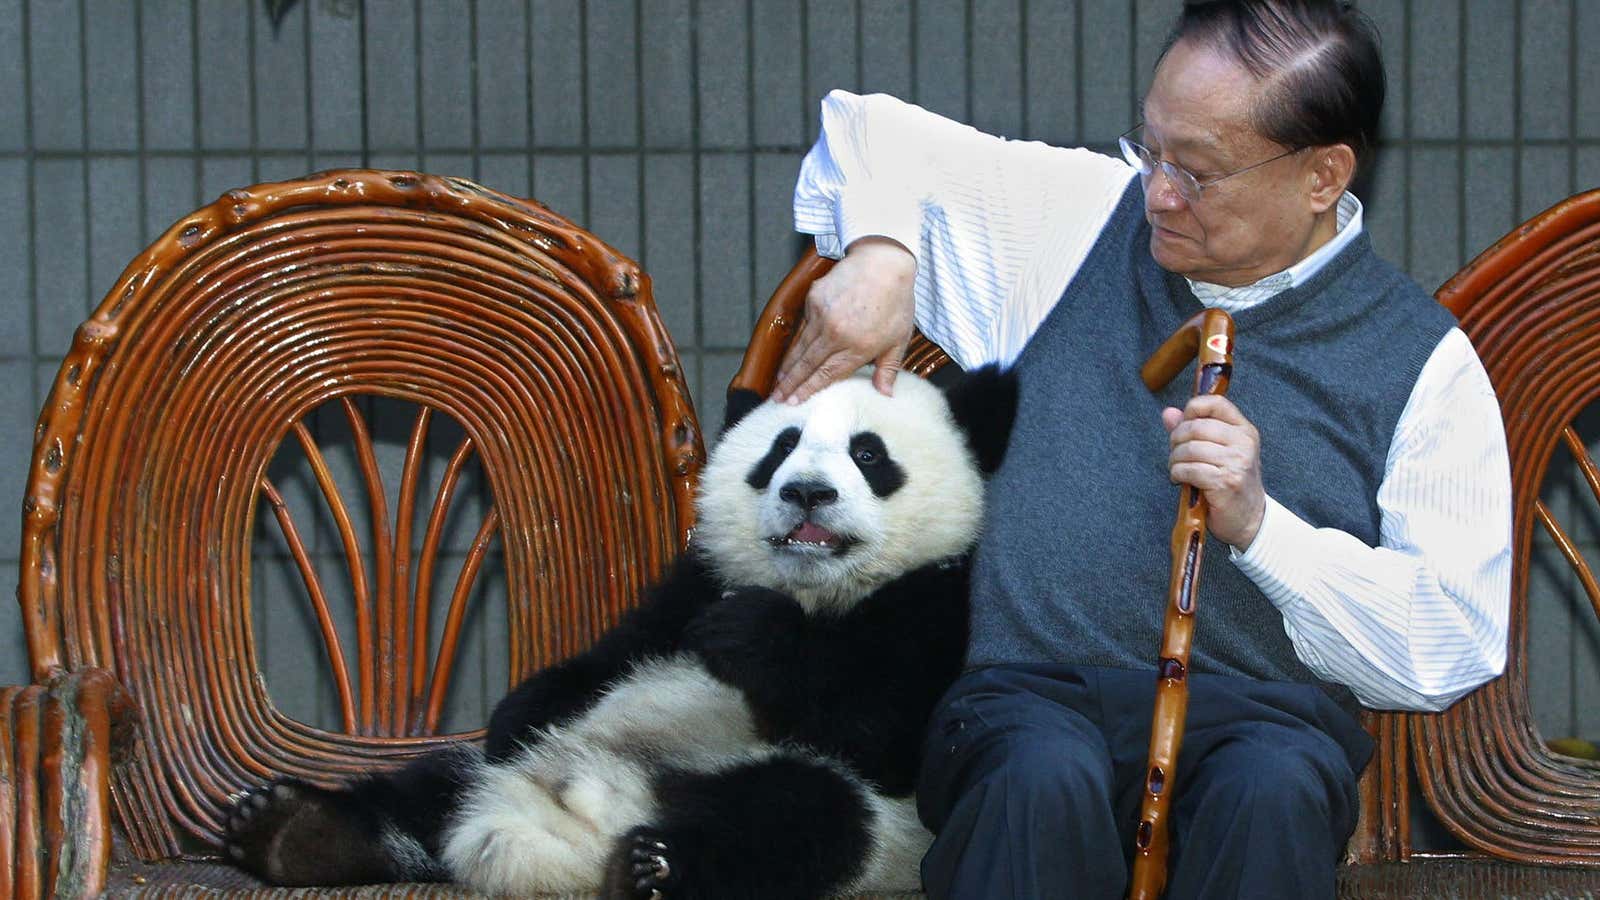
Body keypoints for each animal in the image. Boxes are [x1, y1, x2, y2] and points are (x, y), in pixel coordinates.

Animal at [222, 365, 1011, 896]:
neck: (817, 591)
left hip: (873, 827)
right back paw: (294, 832)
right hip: (511, 763)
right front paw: (524, 705)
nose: (806, 493)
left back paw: (653, 870)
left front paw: (753, 635)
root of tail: (571, 831)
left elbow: (890, 728)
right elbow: (612, 653)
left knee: (802, 815)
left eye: (868, 454)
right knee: (434, 786)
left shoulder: (944, 608)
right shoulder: (686, 583)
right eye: (780, 448)